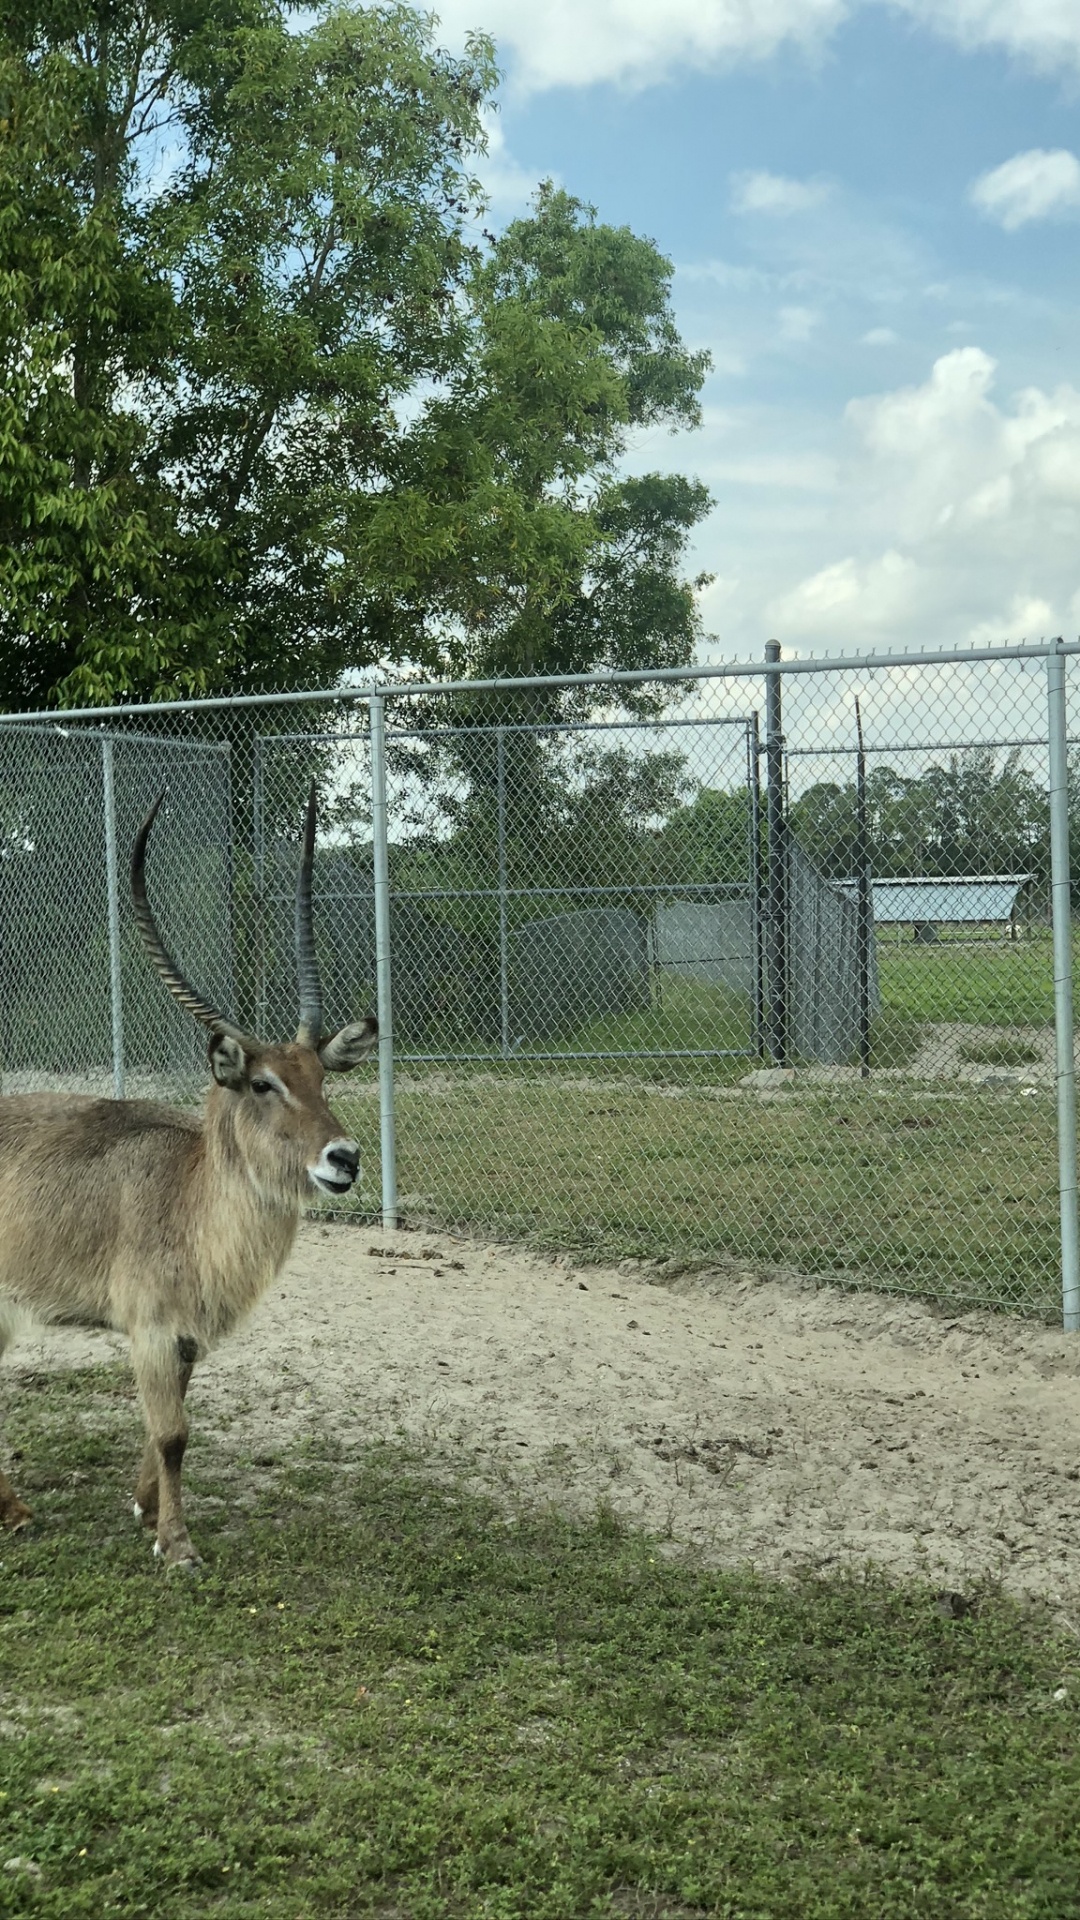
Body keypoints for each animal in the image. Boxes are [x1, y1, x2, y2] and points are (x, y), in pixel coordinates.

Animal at [0, 785, 377, 1570]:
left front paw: (146, 1506)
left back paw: (12, 1512)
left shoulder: (186, 1336)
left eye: (321, 1076)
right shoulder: (148, 1326)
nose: (345, 1158)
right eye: (263, 1083)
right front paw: (176, 1545)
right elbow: (173, 1432)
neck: (192, 1197)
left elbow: (167, 1425)